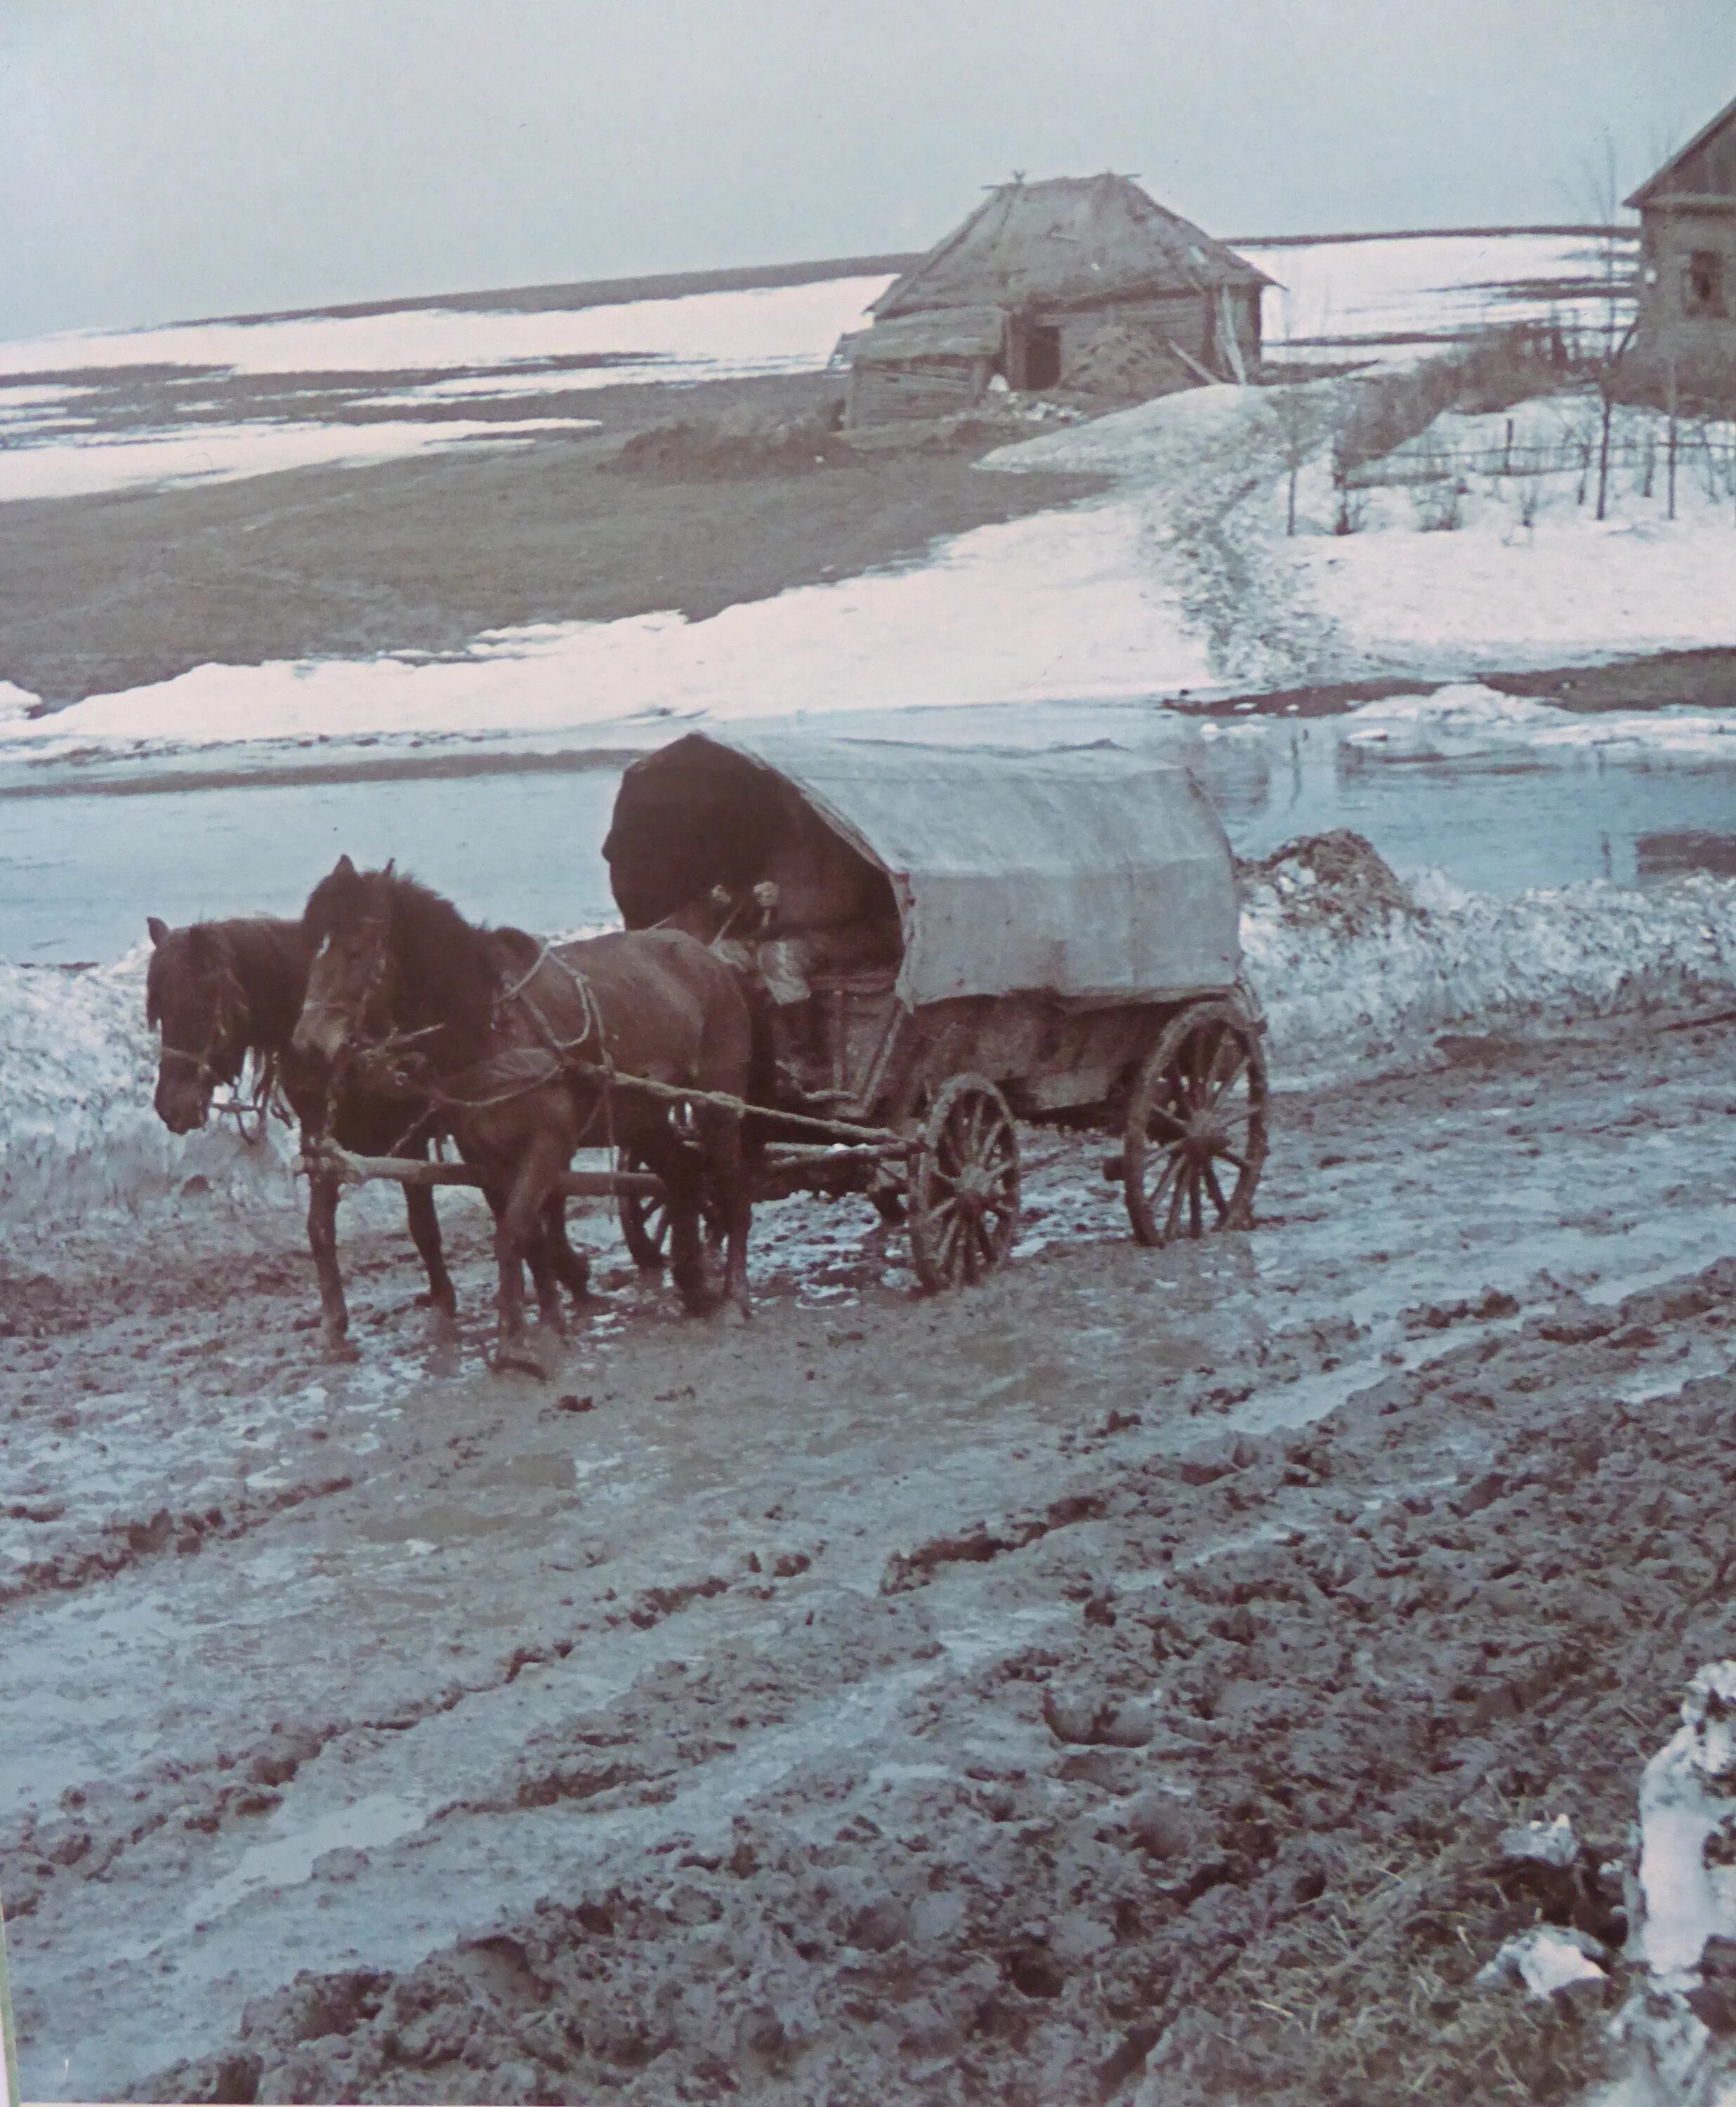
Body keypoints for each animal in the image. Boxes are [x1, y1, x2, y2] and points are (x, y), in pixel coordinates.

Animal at [145, 914, 590, 1357]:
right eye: (159, 1012)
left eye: (198, 1007)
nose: (170, 1108)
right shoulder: (321, 1138)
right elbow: (319, 1230)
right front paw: (334, 1322)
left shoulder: (410, 1139)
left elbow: (423, 1226)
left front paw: (444, 1301)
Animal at [291, 855, 767, 1365]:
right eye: (312, 950)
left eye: (357, 951)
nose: (308, 1046)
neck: (487, 1024)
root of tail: (708, 957)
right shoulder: (484, 1156)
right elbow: (529, 1237)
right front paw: (551, 1322)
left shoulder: (548, 1143)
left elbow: (513, 1233)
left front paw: (512, 1340)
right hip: (643, 1116)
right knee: (682, 1175)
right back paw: (693, 1282)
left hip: (719, 1101)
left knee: (732, 1190)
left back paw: (735, 1296)